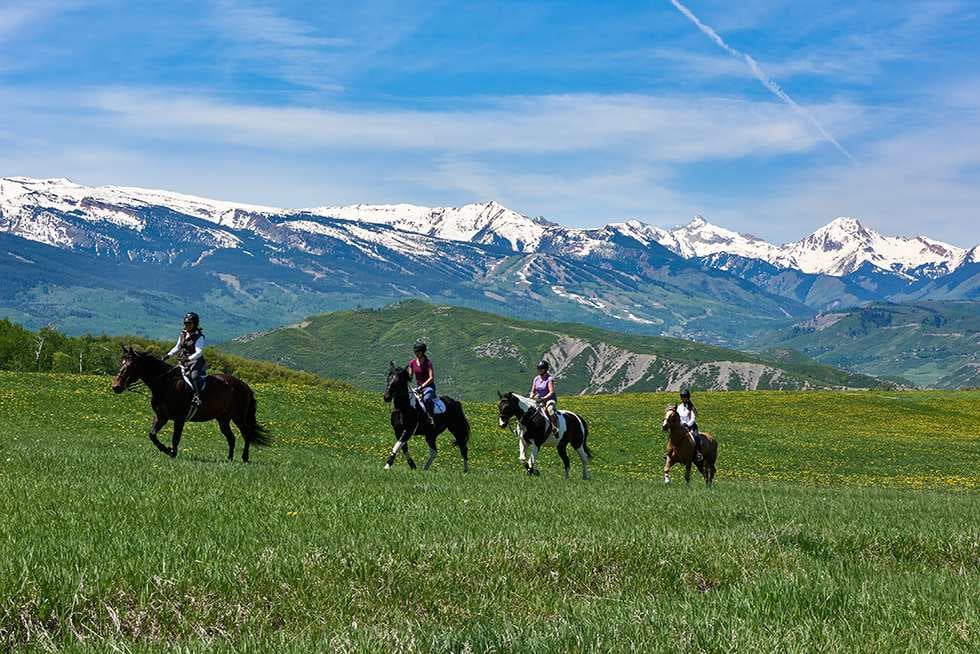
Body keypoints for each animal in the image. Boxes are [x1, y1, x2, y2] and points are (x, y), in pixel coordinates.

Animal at [112, 346, 272, 464]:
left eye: (131, 365)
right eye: (121, 363)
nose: (116, 387)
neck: (166, 384)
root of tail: (245, 386)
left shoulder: (179, 418)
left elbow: (175, 437)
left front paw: (171, 453)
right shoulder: (161, 417)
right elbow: (152, 435)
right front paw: (166, 450)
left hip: (238, 417)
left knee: (246, 434)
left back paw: (245, 459)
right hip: (223, 419)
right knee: (231, 438)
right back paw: (229, 459)